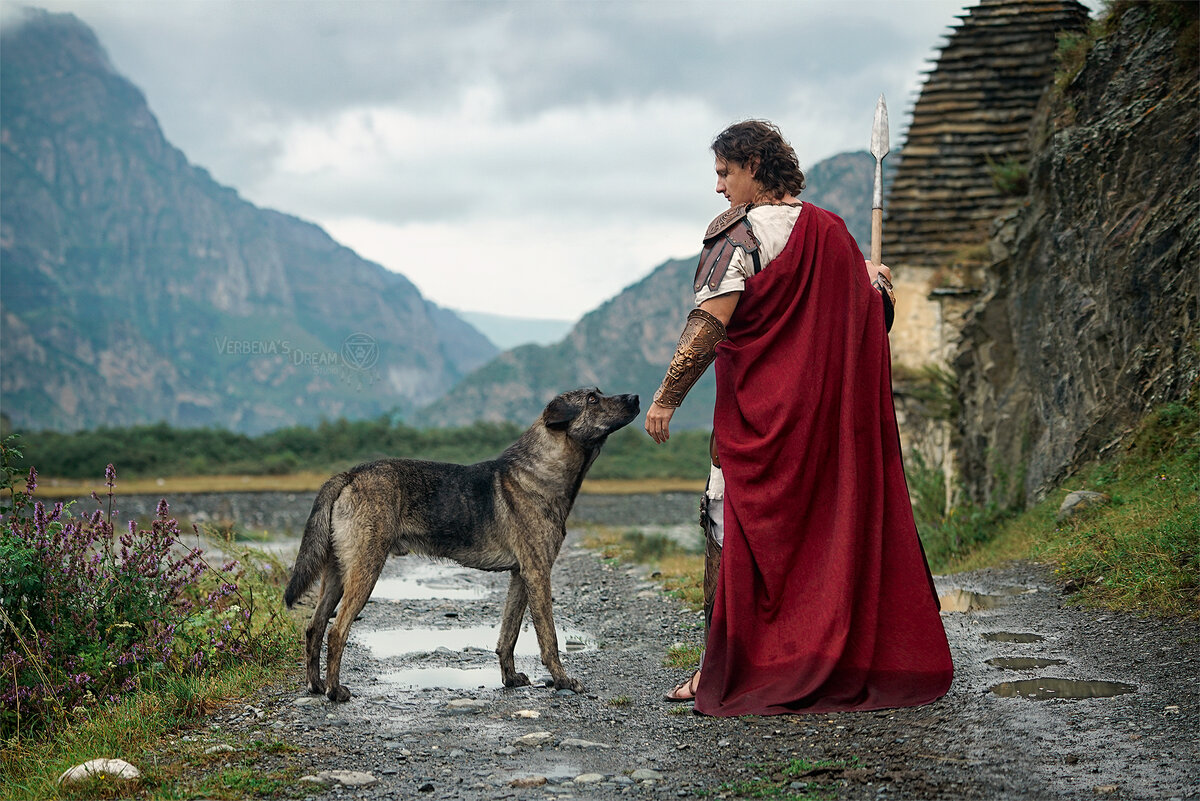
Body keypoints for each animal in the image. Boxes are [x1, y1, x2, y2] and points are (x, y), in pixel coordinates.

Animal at [283, 388, 638, 700]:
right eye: (592, 399)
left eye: (599, 393)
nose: (635, 397)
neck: (541, 471)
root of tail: (349, 475)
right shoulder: (538, 574)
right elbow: (548, 638)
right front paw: (563, 681)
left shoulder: (520, 576)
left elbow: (508, 635)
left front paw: (510, 678)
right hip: (364, 570)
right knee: (336, 631)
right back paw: (334, 691)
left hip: (336, 574)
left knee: (314, 627)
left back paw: (315, 685)